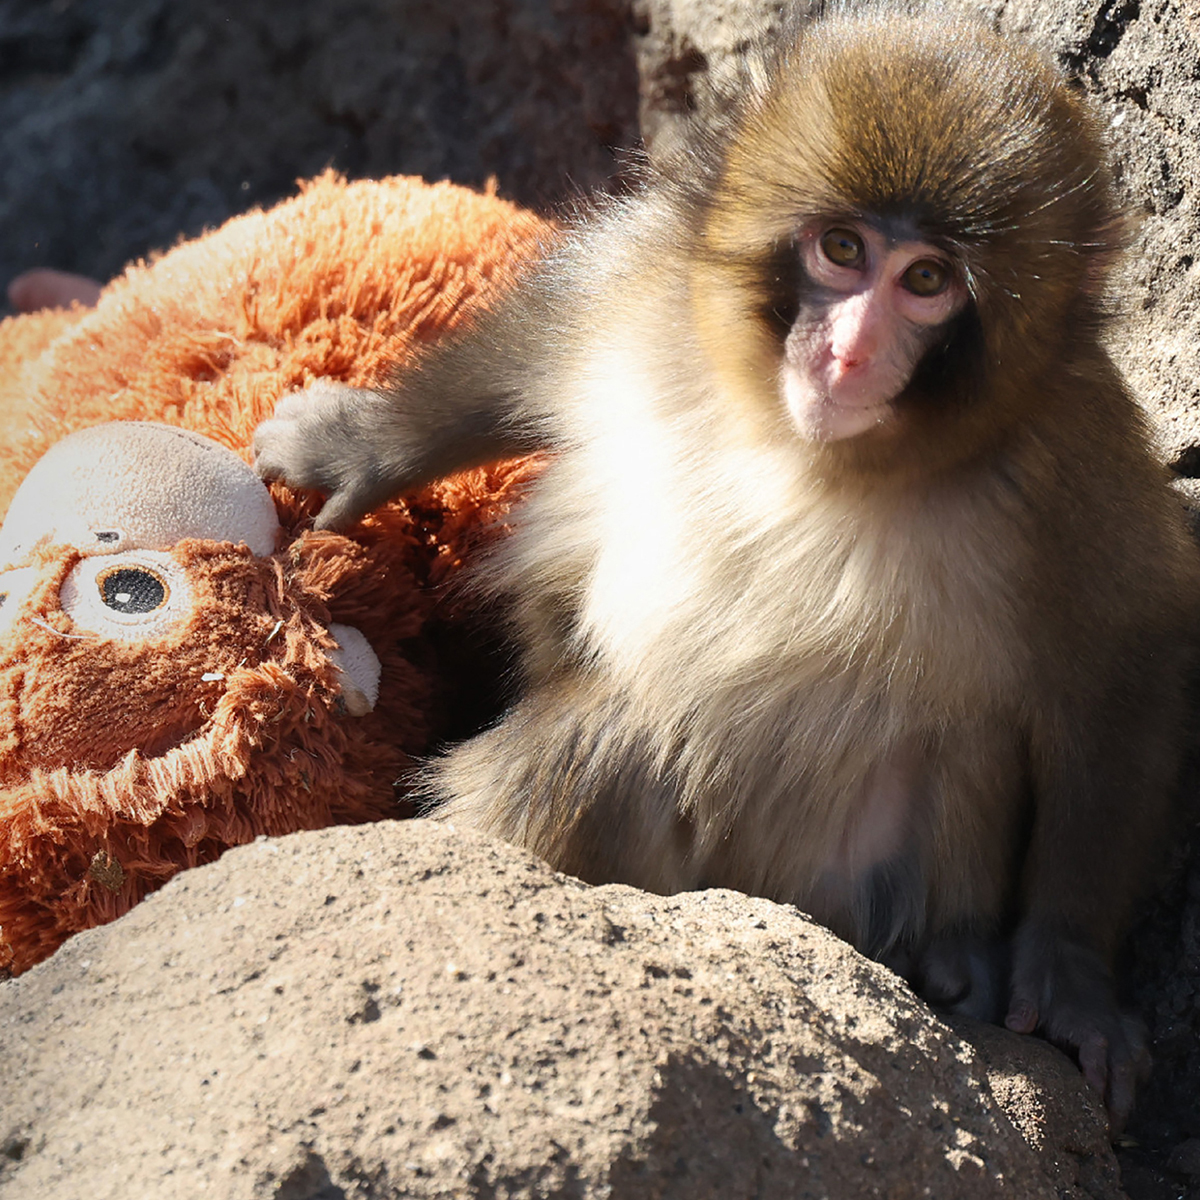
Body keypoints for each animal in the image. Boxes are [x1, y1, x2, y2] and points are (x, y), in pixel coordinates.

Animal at [253, 8, 1200, 1130]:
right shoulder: (651, 289)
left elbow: (1127, 661)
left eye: (926, 282)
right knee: (607, 742)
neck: (808, 449)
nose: (846, 354)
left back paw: (955, 959)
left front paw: (1071, 976)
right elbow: (536, 344)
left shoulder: (1070, 460)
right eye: (843, 250)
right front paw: (361, 447)